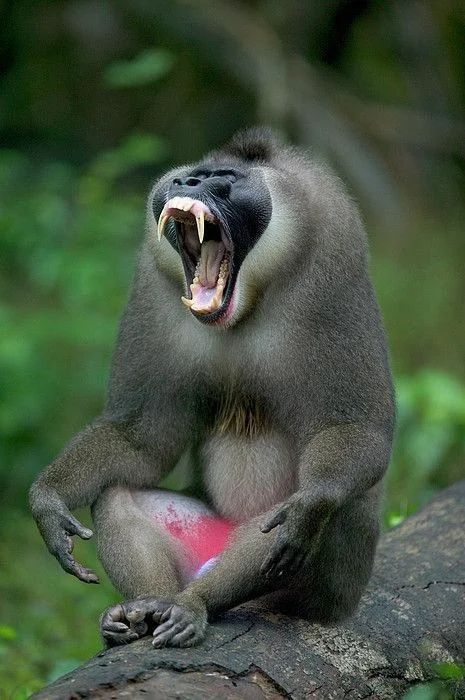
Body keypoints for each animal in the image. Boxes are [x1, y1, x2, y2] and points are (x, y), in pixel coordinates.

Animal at [29, 129, 394, 648]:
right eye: (190, 174)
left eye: (223, 178)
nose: (185, 181)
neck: (246, 304)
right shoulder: (154, 295)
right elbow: (141, 439)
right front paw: (49, 500)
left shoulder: (332, 275)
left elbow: (357, 432)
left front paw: (311, 503)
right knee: (118, 492)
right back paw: (146, 608)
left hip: (320, 589)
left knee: (325, 510)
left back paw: (194, 604)